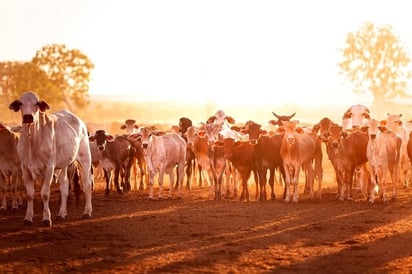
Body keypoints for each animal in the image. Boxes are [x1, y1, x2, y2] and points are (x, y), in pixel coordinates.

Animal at [9, 91, 93, 226]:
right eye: (21, 103)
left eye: (37, 103)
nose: (28, 117)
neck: (32, 141)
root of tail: (80, 122)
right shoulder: (25, 168)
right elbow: (30, 194)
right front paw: (28, 218)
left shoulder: (49, 168)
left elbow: (45, 194)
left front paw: (46, 219)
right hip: (63, 166)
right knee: (64, 187)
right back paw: (61, 214)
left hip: (85, 158)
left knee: (87, 185)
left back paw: (87, 212)